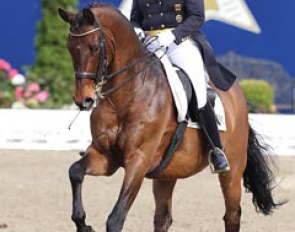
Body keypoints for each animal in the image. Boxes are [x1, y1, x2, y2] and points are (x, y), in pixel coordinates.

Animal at [58, 3, 282, 232]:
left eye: (95, 47)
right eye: (69, 48)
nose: (83, 100)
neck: (127, 95)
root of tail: (237, 93)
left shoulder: (138, 161)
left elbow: (115, 219)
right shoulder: (105, 156)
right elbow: (75, 171)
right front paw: (83, 224)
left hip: (233, 169)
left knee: (232, 215)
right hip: (167, 172)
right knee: (163, 218)